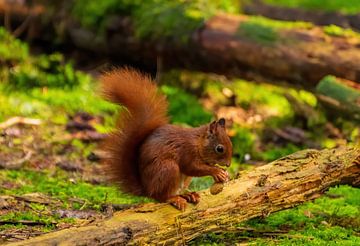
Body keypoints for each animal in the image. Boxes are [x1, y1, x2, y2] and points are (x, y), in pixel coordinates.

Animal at [100, 68, 232, 210]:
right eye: (219, 148)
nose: (228, 164)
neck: (198, 143)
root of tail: (147, 189)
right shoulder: (187, 152)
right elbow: (192, 167)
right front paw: (216, 172)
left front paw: (224, 173)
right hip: (168, 169)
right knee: (162, 197)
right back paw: (174, 198)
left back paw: (188, 194)